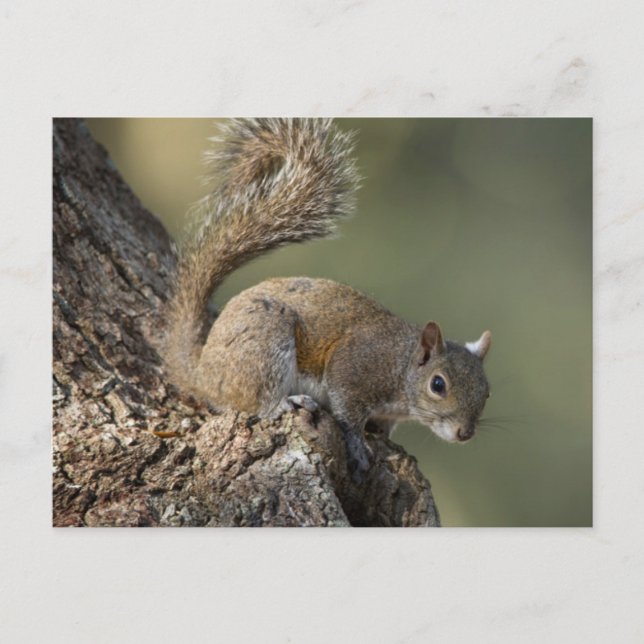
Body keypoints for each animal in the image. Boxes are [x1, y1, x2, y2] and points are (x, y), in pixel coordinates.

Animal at [164, 118, 492, 478]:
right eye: (438, 385)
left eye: (487, 391)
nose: (465, 433)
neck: (401, 365)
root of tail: (202, 373)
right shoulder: (354, 367)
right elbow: (348, 412)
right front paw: (358, 446)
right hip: (265, 345)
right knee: (255, 401)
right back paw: (286, 402)